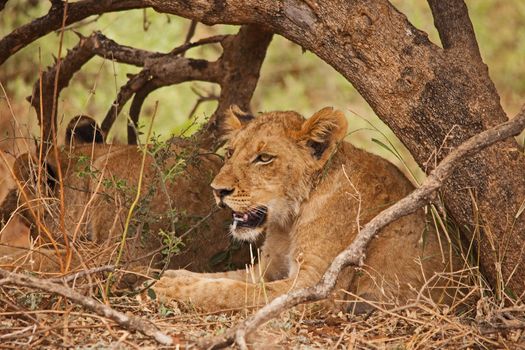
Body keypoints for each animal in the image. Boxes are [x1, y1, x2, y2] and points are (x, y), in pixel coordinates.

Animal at [152, 106, 462, 312]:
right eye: (230, 153)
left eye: (264, 158)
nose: (218, 190)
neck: (288, 221)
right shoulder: (267, 269)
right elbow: (224, 279)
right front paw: (171, 276)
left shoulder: (317, 287)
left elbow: (235, 292)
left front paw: (169, 288)